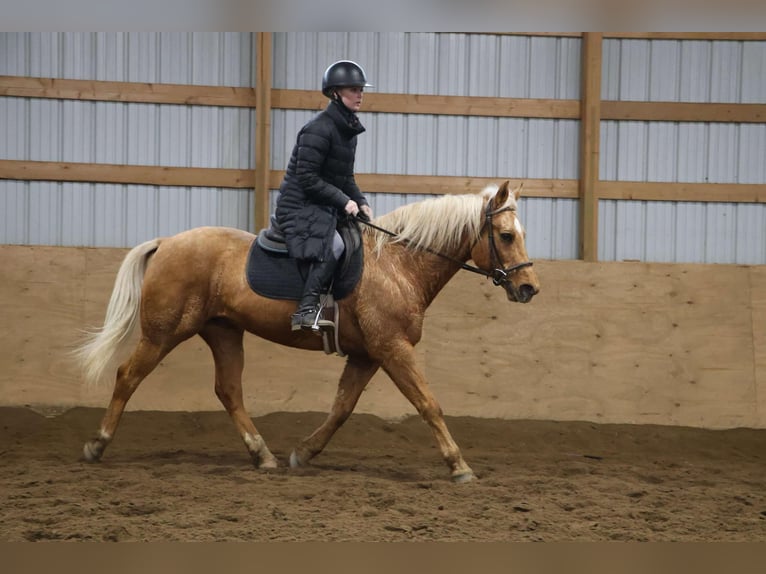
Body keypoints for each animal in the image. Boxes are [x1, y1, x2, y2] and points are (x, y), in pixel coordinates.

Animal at [74, 180, 540, 483]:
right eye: (505, 235)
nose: (528, 288)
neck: (398, 265)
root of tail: (167, 242)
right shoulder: (393, 348)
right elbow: (429, 404)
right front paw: (459, 466)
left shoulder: (367, 355)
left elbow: (342, 408)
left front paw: (303, 453)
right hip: (164, 333)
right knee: (128, 376)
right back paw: (96, 445)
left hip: (224, 333)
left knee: (229, 391)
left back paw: (263, 455)